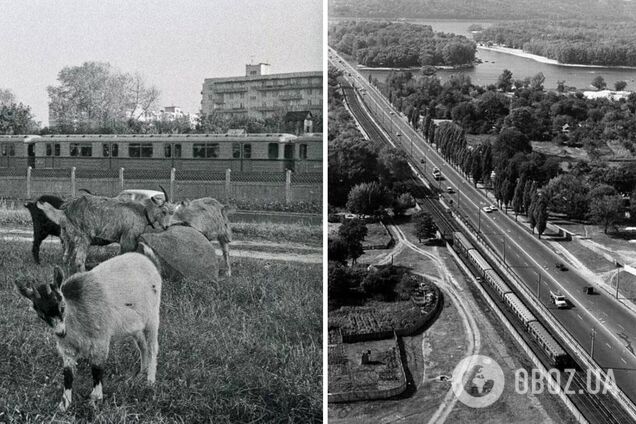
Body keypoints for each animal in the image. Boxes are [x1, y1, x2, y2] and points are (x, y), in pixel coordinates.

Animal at [15, 252, 161, 410]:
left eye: (62, 307)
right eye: (41, 315)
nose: (60, 333)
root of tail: (145, 259)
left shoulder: (100, 339)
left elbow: (96, 369)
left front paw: (95, 399)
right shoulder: (67, 347)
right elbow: (68, 374)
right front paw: (64, 404)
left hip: (153, 316)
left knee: (152, 347)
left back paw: (150, 381)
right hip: (135, 324)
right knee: (142, 345)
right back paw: (141, 373)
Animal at [37, 187, 176, 274]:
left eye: (172, 211)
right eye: (164, 211)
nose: (166, 227)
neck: (143, 211)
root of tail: (65, 211)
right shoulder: (128, 237)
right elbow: (123, 255)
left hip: (67, 237)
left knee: (66, 257)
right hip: (83, 237)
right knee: (79, 260)